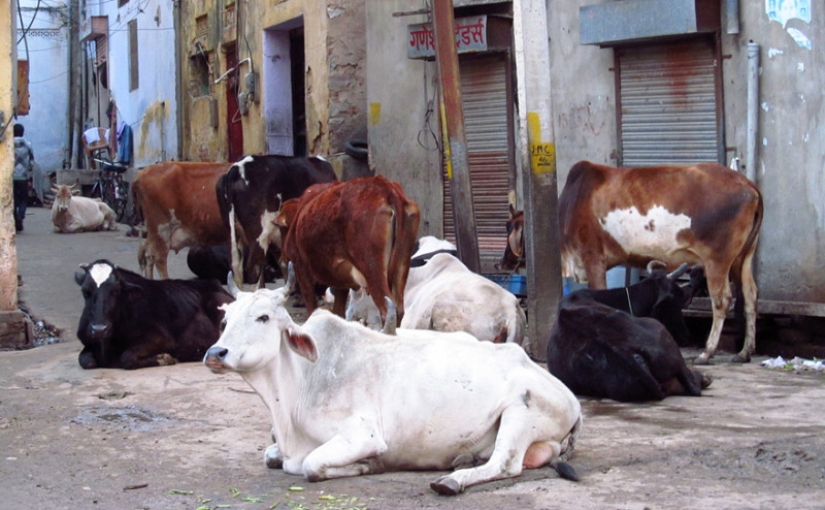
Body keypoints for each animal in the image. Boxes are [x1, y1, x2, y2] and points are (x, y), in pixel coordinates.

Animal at [74, 259, 233, 370]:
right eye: (85, 291)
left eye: (116, 291)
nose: (99, 330)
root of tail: (215, 283)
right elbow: (86, 361)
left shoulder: (160, 338)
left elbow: (126, 358)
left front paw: (164, 358)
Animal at [203, 268, 582, 495]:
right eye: (226, 318)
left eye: (263, 317)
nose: (216, 352)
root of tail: (572, 400)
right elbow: (272, 457)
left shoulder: (363, 434)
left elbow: (309, 465)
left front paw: (367, 465)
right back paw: (464, 460)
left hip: (521, 410)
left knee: (505, 463)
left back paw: (452, 480)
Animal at [275, 175, 420, 326]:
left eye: (281, 229)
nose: (282, 257)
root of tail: (385, 186)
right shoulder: (341, 282)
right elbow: (338, 312)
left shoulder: (301, 268)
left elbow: (312, 309)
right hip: (401, 267)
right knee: (399, 310)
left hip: (372, 269)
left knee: (387, 310)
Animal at [499, 161, 763, 364]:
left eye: (508, 228)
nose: (502, 263)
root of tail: (747, 184)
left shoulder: (593, 258)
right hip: (742, 257)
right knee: (750, 295)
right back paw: (745, 352)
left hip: (717, 259)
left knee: (722, 300)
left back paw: (707, 352)